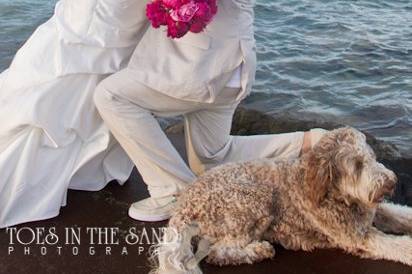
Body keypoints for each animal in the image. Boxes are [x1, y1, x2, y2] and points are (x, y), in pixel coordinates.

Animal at [151, 127, 412, 272]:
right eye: (357, 165)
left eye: (371, 157)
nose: (391, 181)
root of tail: (182, 206)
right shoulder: (356, 236)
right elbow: (396, 245)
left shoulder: (373, 212)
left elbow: (400, 214)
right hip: (254, 200)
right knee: (219, 252)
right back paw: (258, 250)